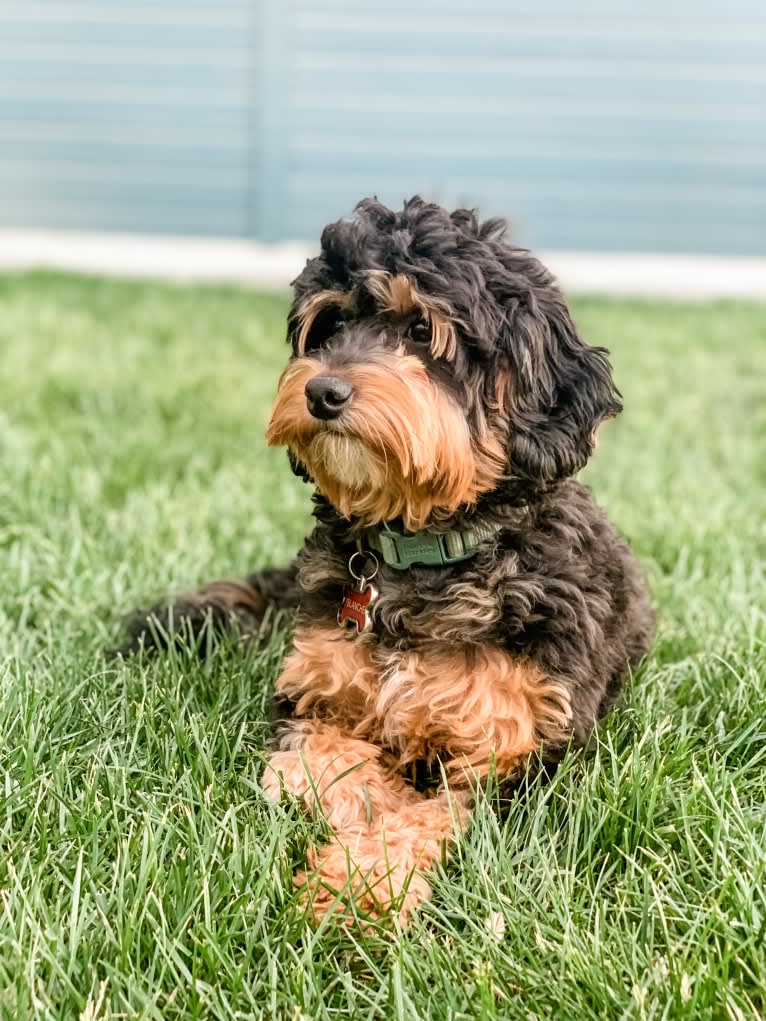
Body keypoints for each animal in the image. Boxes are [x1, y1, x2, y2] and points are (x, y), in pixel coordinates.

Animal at [126, 192, 653, 927]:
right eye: (330, 325)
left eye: (421, 331)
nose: (322, 392)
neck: (418, 552)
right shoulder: (308, 698)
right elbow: (325, 766)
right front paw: (376, 804)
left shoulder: (526, 753)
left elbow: (437, 815)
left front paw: (358, 883)